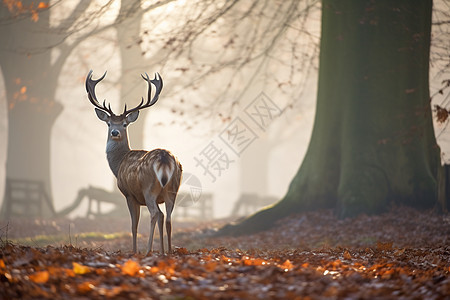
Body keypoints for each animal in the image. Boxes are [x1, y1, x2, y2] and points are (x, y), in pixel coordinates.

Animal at [85, 70, 182, 255]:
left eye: (124, 124)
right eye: (109, 123)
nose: (115, 132)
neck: (118, 163)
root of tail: (164, 158)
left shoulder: (130, 194)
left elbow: (133, 226)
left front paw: (135, 251)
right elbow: (161, 218)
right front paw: (162, 250)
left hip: (148, 188)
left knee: (155, 214)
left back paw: (148, 250)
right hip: (172, 189)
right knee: (167, 217)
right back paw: (169, 251)